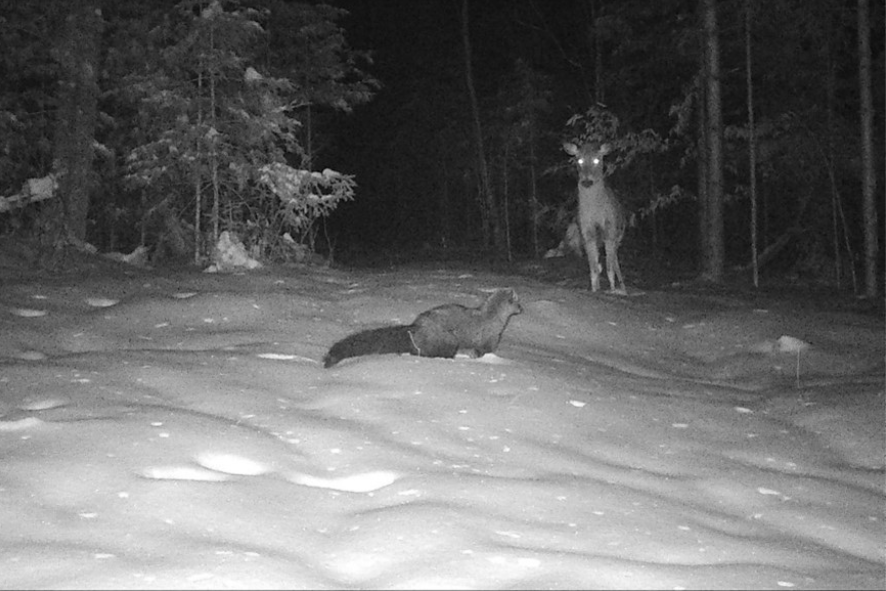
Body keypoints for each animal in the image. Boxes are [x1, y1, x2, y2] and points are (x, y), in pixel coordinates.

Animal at [564, 141, 628, 294]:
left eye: (597, 160)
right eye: (579, 159)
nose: (587, 181)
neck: (595, 212)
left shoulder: (610, 229)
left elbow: (609, 268)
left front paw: (612, 289)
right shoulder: (586, 231)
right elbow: (593, 268)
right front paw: (594, 289)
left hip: (618, 237)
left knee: (615, 261)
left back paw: (623, 288)